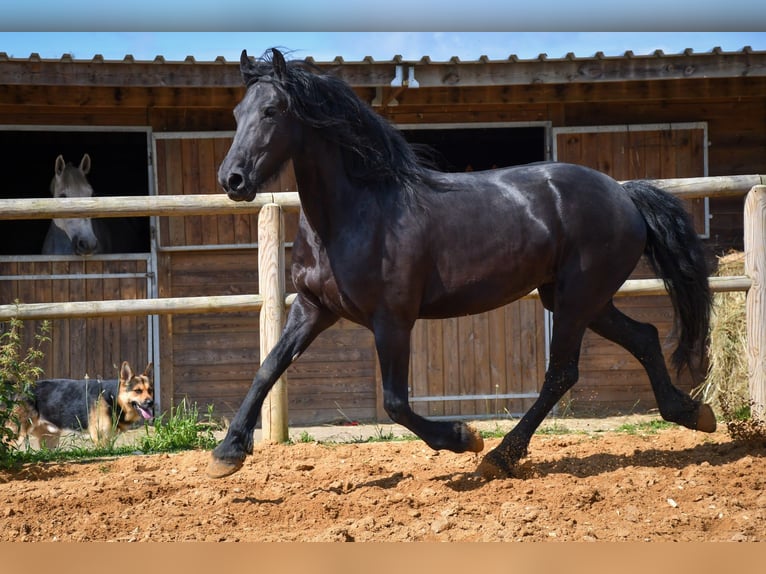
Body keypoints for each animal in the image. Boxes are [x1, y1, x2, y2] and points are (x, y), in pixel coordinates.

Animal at [14, 360, 154, 450]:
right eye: (138, 391)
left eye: (150, 390)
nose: (151, 402)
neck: (113, 398)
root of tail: (19, 390)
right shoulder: (100, 439)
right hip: (18, 436)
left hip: (50, 440)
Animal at [208, 49, 712, 482]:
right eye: (236, 114)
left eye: (272, 111)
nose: (232, 180)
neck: (355, 214)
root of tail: (624, 193)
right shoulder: (313, 308)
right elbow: (268, 367)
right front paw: (227, 453)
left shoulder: (392, 319)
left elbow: (395, 402)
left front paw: (463, 436)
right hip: (580, 297)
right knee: (643, 337)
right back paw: (692, 413)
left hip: (577, 297)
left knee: (562, 373)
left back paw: (499, 456)